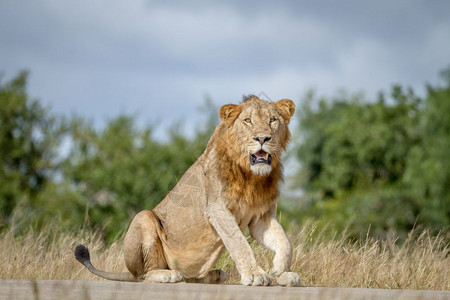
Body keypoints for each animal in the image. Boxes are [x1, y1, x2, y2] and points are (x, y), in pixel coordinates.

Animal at [75, 95, 300, 286]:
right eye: (247, 121)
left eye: (272, 120)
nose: (262, 138)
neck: (253, 176)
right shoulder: (218, 209)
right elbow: (239, 243)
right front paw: (254, 275)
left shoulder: (260, 216)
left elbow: (284, 242)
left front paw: (282, 272)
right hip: (144, 217)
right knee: (143, 275)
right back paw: (168, 275)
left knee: (190, 276)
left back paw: (213, 275)